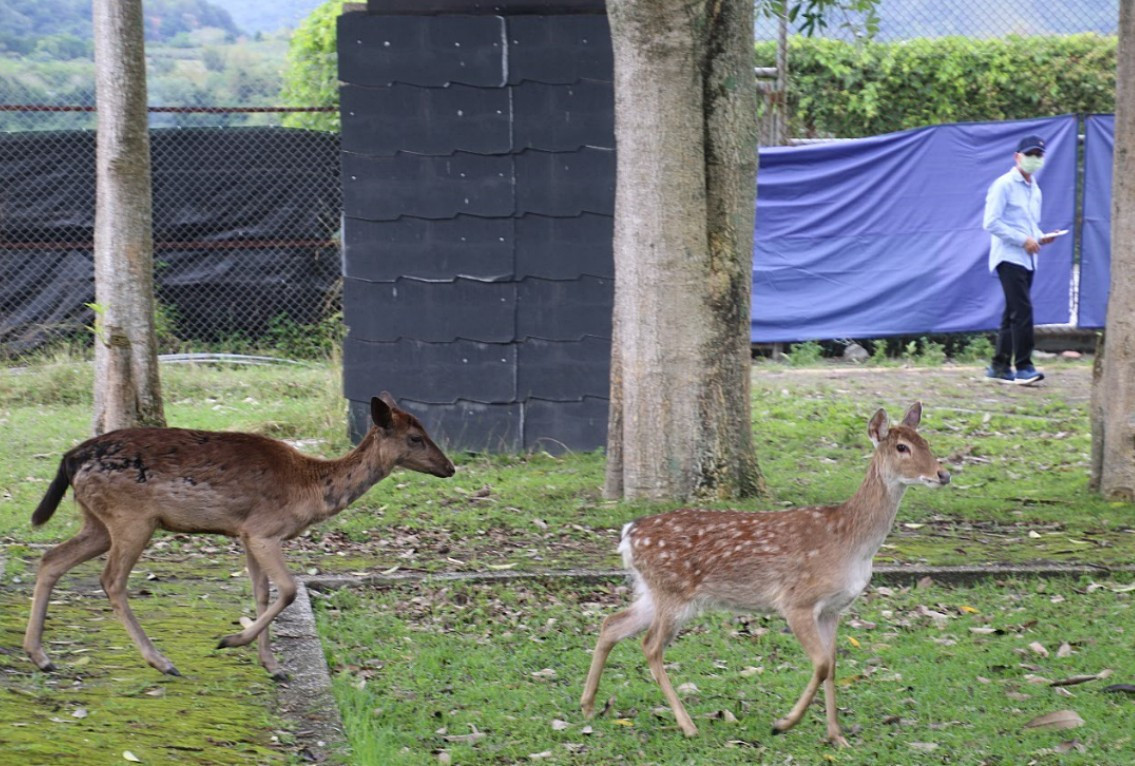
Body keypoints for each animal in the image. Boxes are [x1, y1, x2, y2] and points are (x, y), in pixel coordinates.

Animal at [26, 394, 451, 676]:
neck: (310, 488)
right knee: (111, 579)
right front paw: (230, 641)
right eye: (415, 437)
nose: (450, 467)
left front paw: (272, 665)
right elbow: (289, 589)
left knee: (51, 559)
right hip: (132, 518)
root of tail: (71, 458)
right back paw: (161, 661)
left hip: (97, 520)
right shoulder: (264, 530)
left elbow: (261, 592)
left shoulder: (245, 532)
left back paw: (42, 656)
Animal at [585, 403, 948, 744]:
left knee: (611, 624)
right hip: (673, 591)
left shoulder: (833, 609)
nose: (943, 474)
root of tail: (629, 533)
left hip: (653, 591)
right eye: (902, 447)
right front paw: (784, 724)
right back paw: (687, 725)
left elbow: (832, 666)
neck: (851, 542)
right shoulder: (797, 602)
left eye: (926, 442)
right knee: (650, 645)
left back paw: (588, 705)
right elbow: (821, 665)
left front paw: (836, 736)